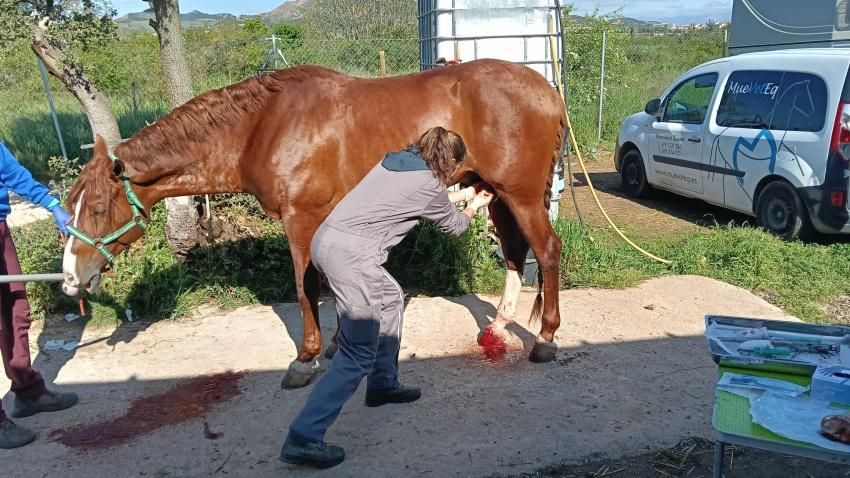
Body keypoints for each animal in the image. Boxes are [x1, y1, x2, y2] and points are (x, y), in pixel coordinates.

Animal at [61, 59, 567, 388]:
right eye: (72, 202)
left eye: (99, 208)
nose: (70, 276)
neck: (263, 126)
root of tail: (547, 89)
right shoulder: (325, 216)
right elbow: (329, 284)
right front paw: (339, 341)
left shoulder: (300, 218)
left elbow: (306, 287)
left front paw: (305, 358)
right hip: (497, 194)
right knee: (515, 255)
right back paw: (498, 329)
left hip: (521, 196)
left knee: (546, 251)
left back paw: (545, 339)